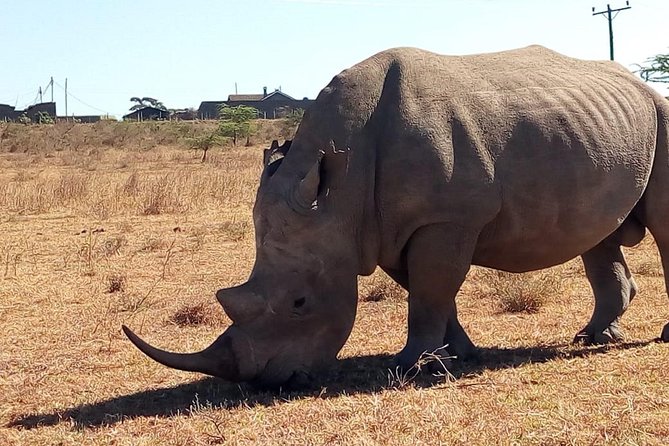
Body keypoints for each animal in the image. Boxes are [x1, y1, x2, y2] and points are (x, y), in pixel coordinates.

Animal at [123, 46, 669, 387]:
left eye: (300, 303)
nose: (269, 382)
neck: (338, 191)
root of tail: (637, 83)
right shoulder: (383, 228)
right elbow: (429, 291)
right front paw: (455, 356)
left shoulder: (444, 218)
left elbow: (429, 291)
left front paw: (411, 368)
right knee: (598, 234)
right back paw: (595, 337)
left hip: (662, 113)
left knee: (661, 226)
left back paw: (652, 338)